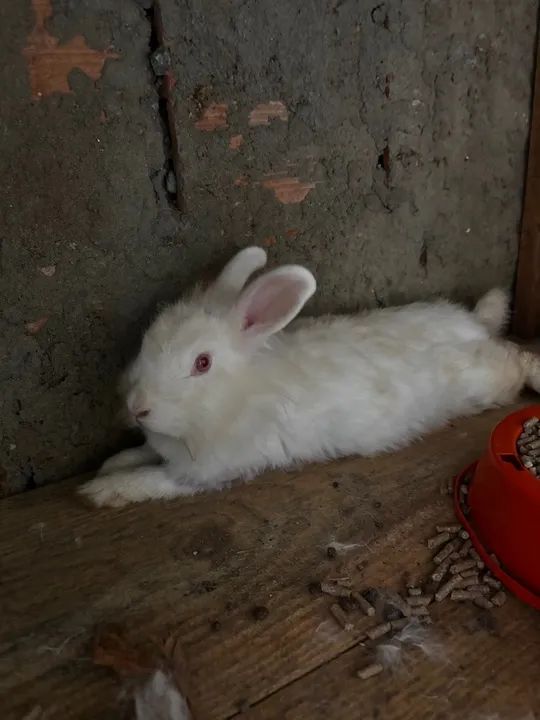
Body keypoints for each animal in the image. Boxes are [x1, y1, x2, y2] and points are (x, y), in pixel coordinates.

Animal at [79, 246, 540, 508]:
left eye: (202, 363)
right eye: (148, 339)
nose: (138, 407)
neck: (230, 399)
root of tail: (474, 326)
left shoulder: (206, 472)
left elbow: (155, 481)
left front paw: (102, 491)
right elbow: (141, 454)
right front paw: (111, 464)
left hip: (489, 377)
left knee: (518, 360)